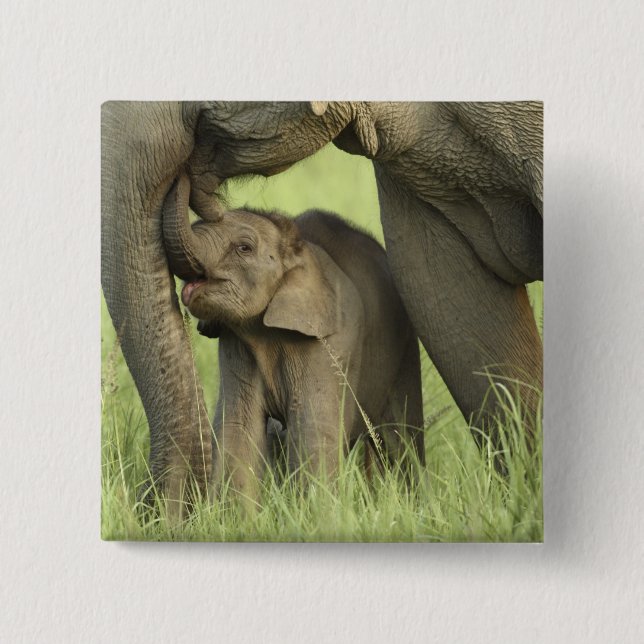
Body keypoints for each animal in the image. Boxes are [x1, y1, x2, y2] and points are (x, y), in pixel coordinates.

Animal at [162, 189, 425, 505]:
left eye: (244, 248)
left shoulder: (330, 342)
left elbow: (311, 427)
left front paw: (316, 511)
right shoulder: (236, 343)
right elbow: (239, 427)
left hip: (405, 346)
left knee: (402, 437)